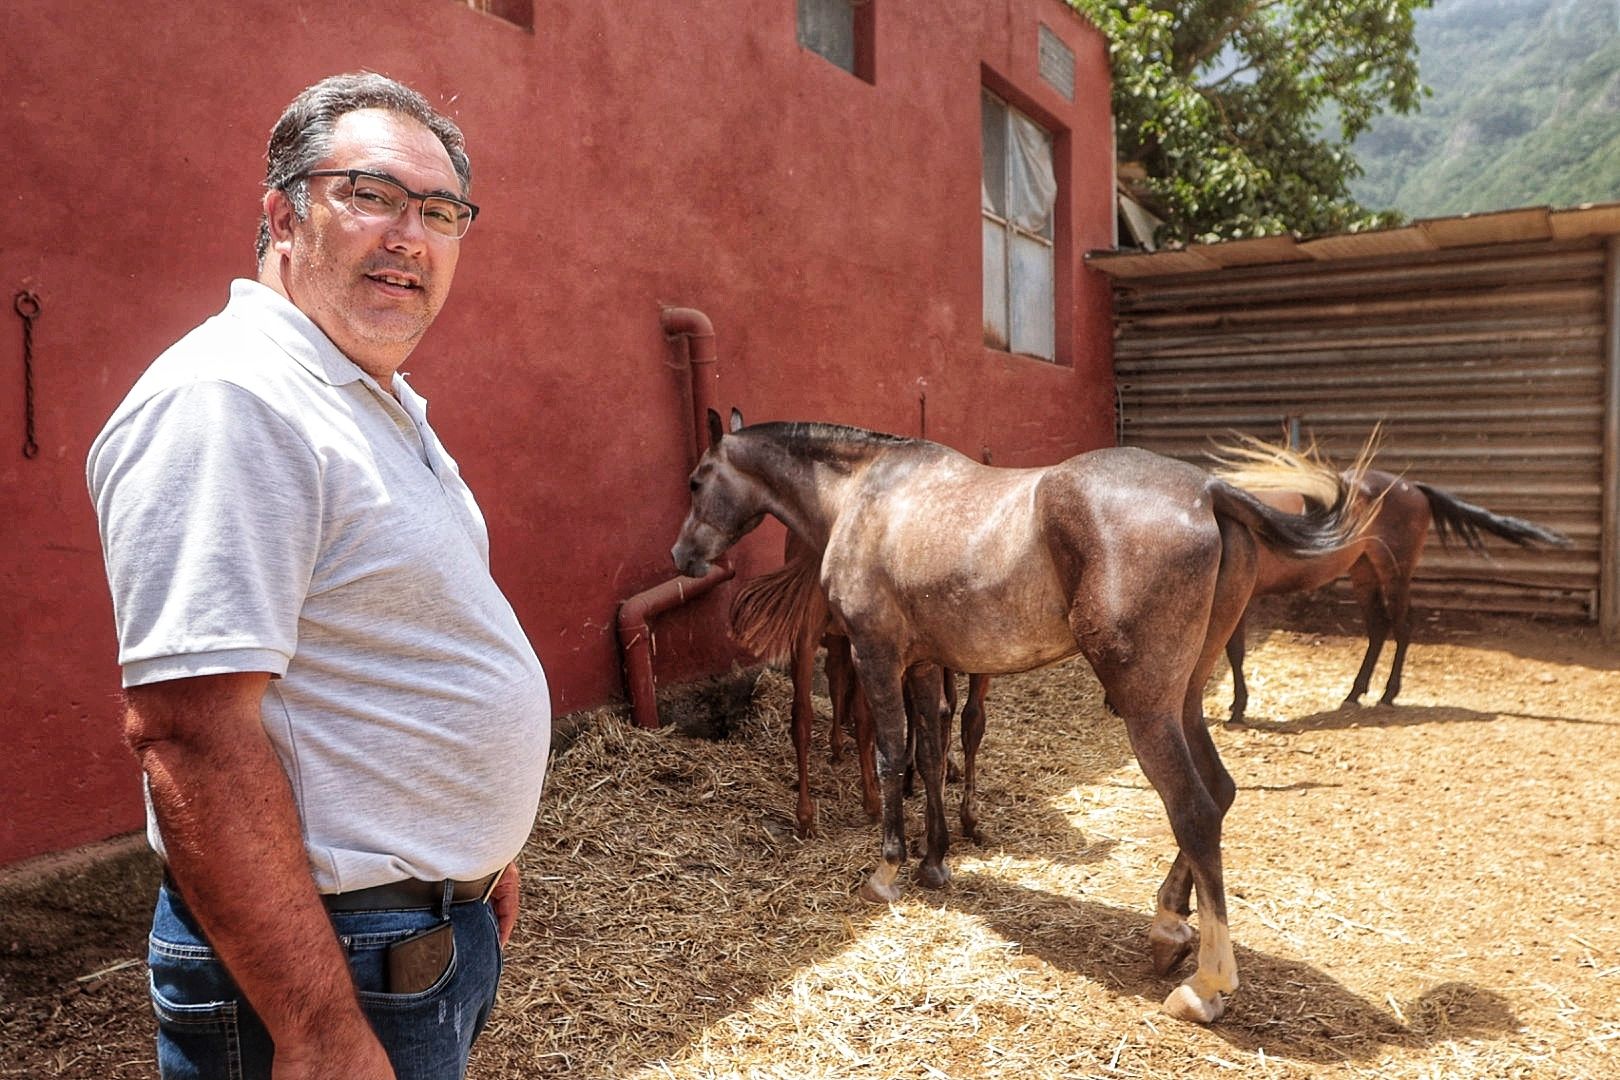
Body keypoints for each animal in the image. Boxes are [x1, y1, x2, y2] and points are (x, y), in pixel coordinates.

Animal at [667, 409, 1367, 1029]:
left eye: (697, 479)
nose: (683, 555)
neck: (864, 492)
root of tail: (1208, 492)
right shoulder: (926, 665)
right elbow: (929, 755)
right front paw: (934, 862)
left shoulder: (877, 656)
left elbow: (892, 755)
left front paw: (888, 871)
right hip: (1184, 699)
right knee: (1218, 793)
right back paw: (1168, 928)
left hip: (1147, 707)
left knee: (1192, 808)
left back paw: (1206, 986)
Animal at [1218, 440, 1568, 725]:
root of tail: (1412, 487)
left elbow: (1233, 651)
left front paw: (1237, 709)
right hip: (1364, 571)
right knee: (1378, 628)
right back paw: (1355, 693)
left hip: (1394, 572)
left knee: (1401, 627)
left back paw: (1387, 694)